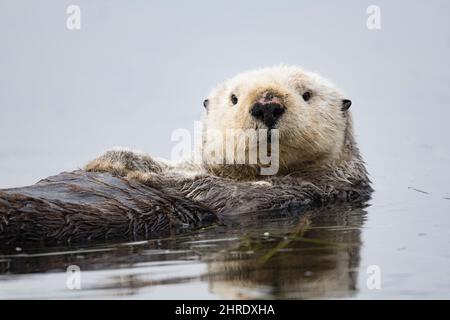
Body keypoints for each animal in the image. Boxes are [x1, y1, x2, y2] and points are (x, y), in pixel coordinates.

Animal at [0, 65, 372, 245]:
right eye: (234, 98)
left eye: (307, 94)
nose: (267, 104)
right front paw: (112, 156)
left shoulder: (301, 192)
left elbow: (209, 189)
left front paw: (123, 162)